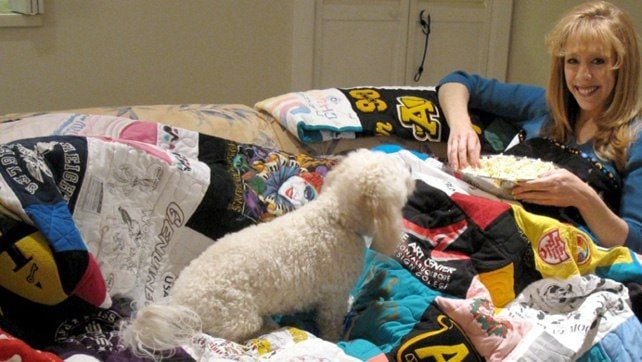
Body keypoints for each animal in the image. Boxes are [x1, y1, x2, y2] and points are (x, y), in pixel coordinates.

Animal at [117, 148, 412, 358]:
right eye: (399, 173)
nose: (412, 168)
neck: (336, 215)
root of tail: (179, 303)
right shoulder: (333, 298)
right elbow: (331, 323)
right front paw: (336, 339)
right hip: (238, 316)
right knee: (241, 333)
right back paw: (270, 327)